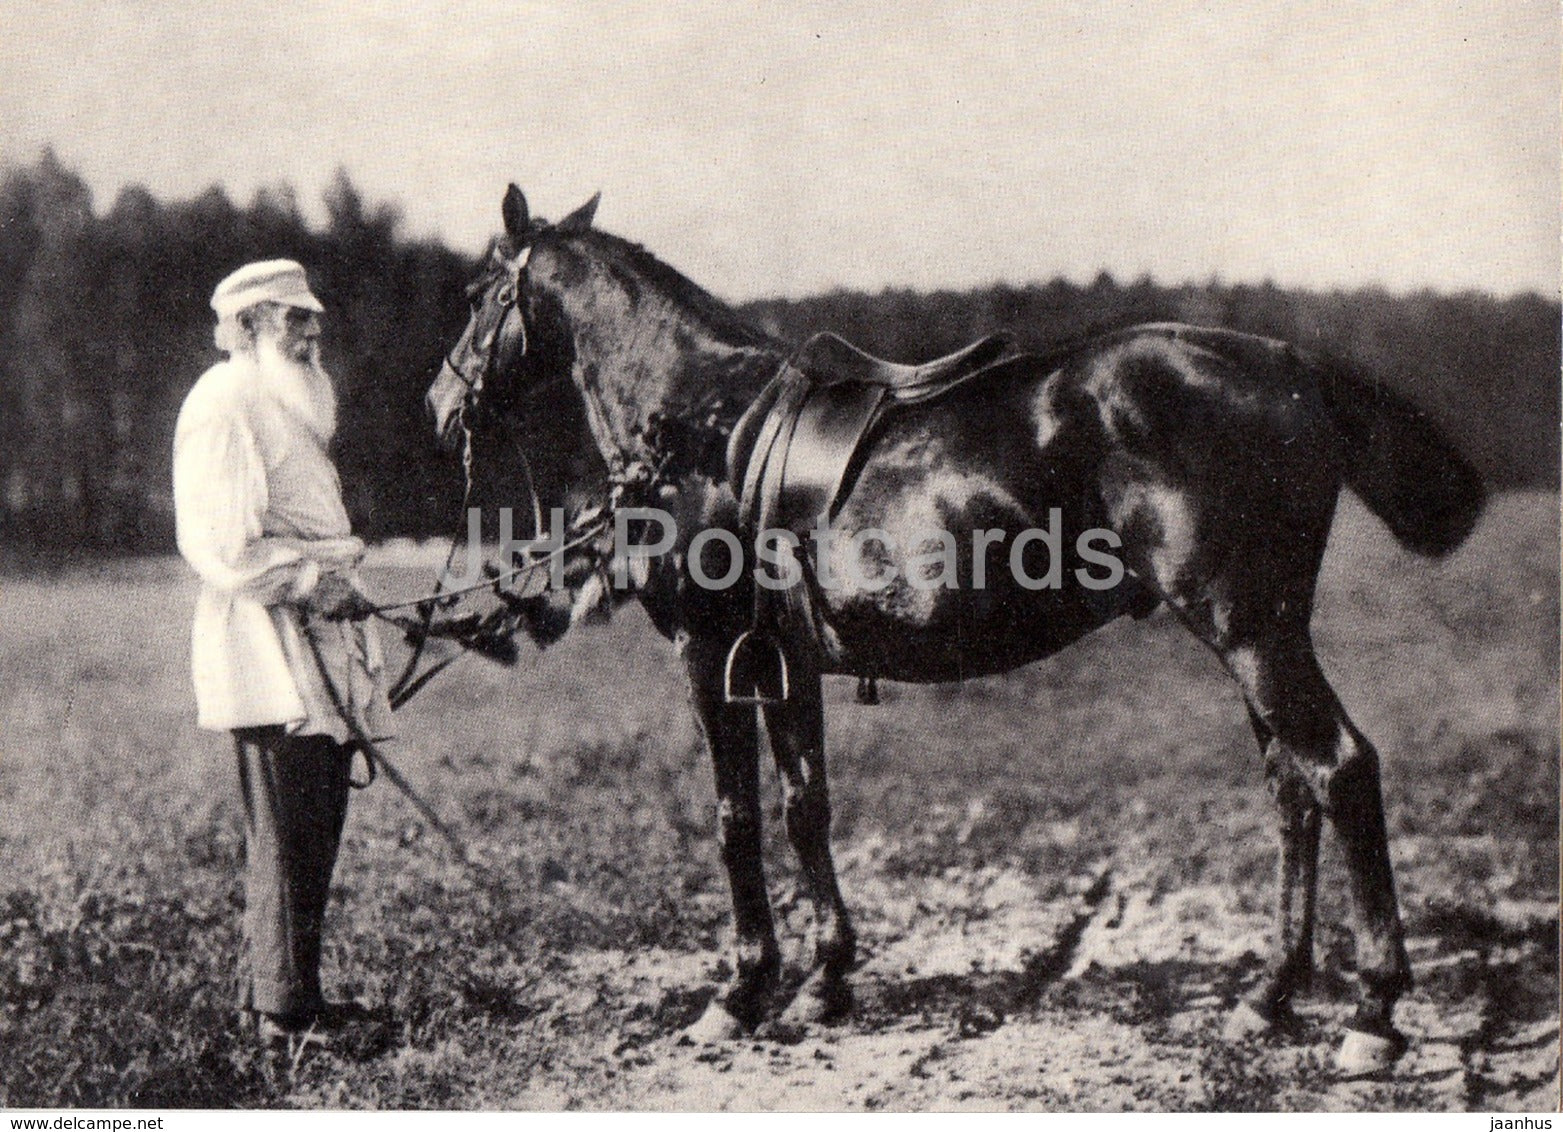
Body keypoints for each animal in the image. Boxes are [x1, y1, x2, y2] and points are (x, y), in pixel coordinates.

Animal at [425, 186, 1475, 1069]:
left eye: (478, 293)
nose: (439, 404)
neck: (699, 428)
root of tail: (1287, 365)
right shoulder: (783, 661)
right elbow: (803, 806)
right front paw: (824, 981)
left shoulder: (710, 653)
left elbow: (735, 819)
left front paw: (741, 991)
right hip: (1256, 634)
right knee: (1293, 790)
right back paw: (1267, 995)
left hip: (1247, 630)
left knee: (1339, 769)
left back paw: (1372, 1015)